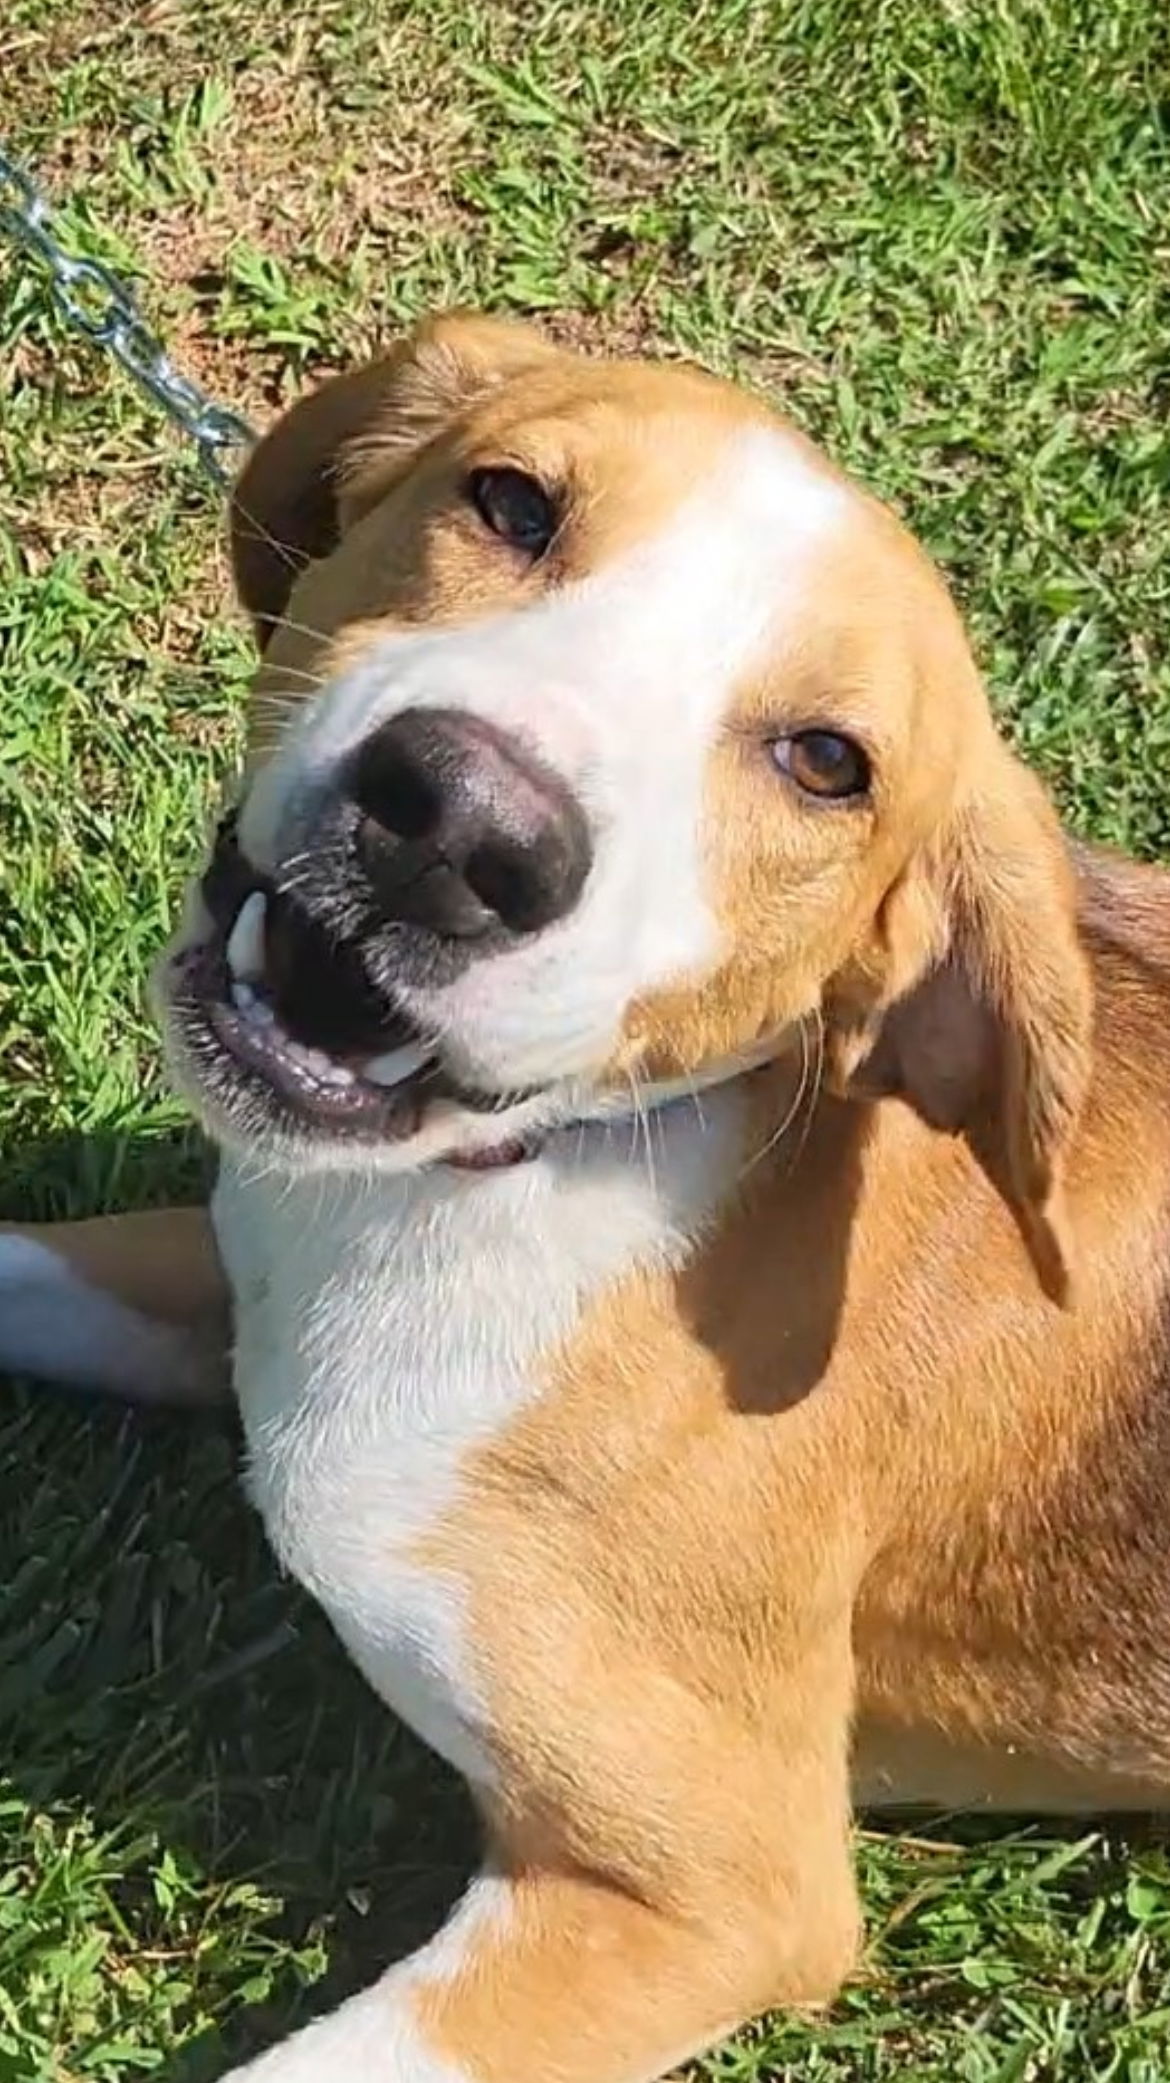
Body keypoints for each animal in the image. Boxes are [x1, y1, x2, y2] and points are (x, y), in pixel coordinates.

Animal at [2, 312, 1165, 2083]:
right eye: (509, 499)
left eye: (826, 762)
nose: (462, 826)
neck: (559, 1164)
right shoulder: (234, 1263)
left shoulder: (708, 1893)